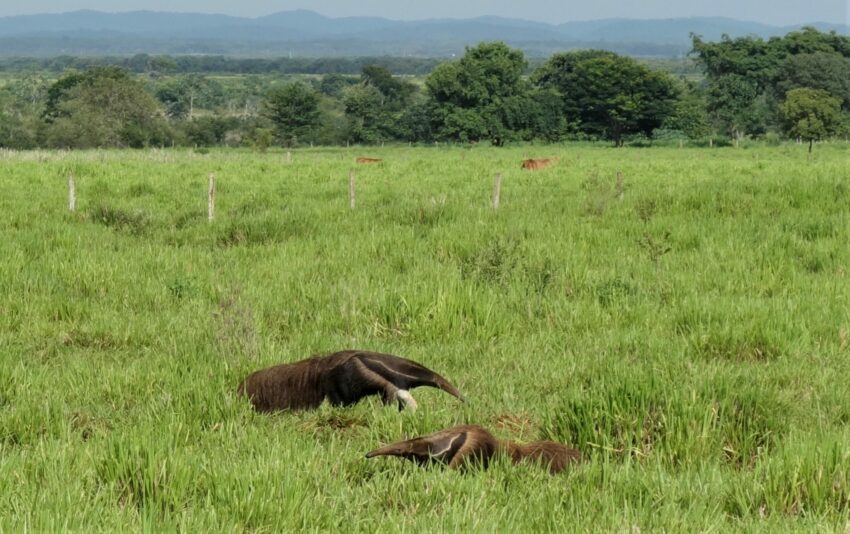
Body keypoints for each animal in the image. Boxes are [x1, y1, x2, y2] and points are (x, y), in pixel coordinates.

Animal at [238, 352, 464, 414]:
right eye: (441, 382)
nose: (464, 399)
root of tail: (321, 367)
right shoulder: (390, 380)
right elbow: (397, 396)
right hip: (341, 381)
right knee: (342, 400)